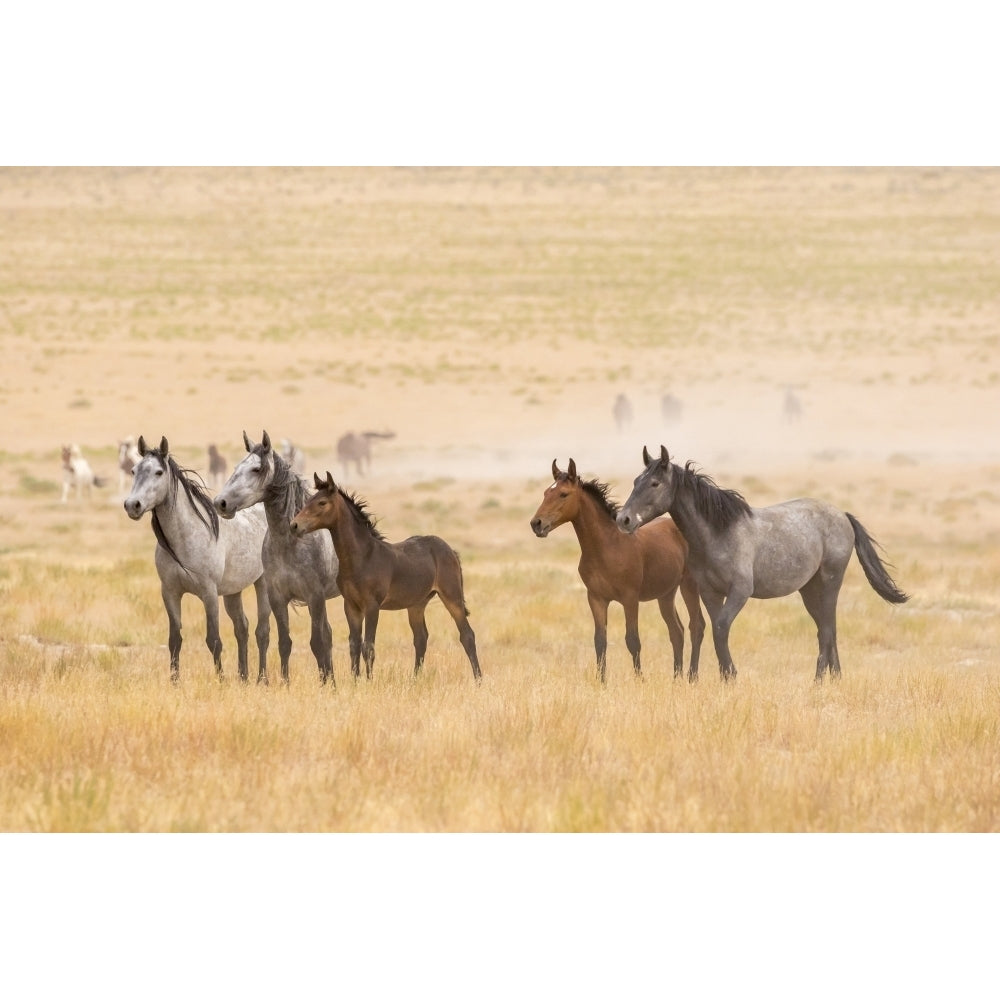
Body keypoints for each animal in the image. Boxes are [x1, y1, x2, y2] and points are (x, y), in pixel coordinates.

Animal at [123, 434, 272, 684]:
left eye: (158, 472)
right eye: (134, 470)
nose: (132, 505)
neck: (185, 538)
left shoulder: (209, 594)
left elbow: (214, 640)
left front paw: (220, 681)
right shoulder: (170, 592)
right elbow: (174, 640)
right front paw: (174, 682)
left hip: (261, 584)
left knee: (262, 631)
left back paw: (262, 679)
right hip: (233, 591)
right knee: (242, 628)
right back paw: (243, 678)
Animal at [213, 430, 342, 688]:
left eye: (256, 469)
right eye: (237, 467)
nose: (220, 503)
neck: (290, 541)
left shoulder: (315, 597)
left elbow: (317, 642)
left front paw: (324, 686)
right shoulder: (278, 597)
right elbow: (285, 643)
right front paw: (285, 683)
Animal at [290, 472, 480, 684]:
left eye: (322, 502)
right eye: (308, 501)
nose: (294, 525)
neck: (362, 557)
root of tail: (450, 550)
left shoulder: (372, 606)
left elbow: (368, 647)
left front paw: (369, 682)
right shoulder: (351, 606)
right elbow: (354, 645)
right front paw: (355, 682)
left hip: (451, 596)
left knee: (467, 635)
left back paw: (478, 680)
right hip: (417, 604)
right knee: (421, 638)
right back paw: (415, 680)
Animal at [528, 462, 708, 688]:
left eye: (563, 494)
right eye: (545, 492)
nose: (537, 524)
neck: (607, 547)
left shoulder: (630, 599)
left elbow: (633, 640)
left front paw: (639, 680)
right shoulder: (596, 599)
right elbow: (600, 641)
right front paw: (601, 682)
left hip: (689, 585)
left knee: (696, 626)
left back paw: (692, 677)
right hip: (666, 594)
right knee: (677, 631)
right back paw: (676, 679)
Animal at [612, 450, 912, 684]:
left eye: (654, 483)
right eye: (636, 481)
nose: (623, 519)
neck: (718, 533)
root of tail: (843, 515)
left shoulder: (740, 591)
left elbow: (721, 628)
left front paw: (731, 677)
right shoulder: (710, 593)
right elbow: (717, 630)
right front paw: (725, 676)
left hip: (830, 582)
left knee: (827, 630)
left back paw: (818, 681)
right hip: (809, 590)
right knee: (827, 629)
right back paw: (834, 678)